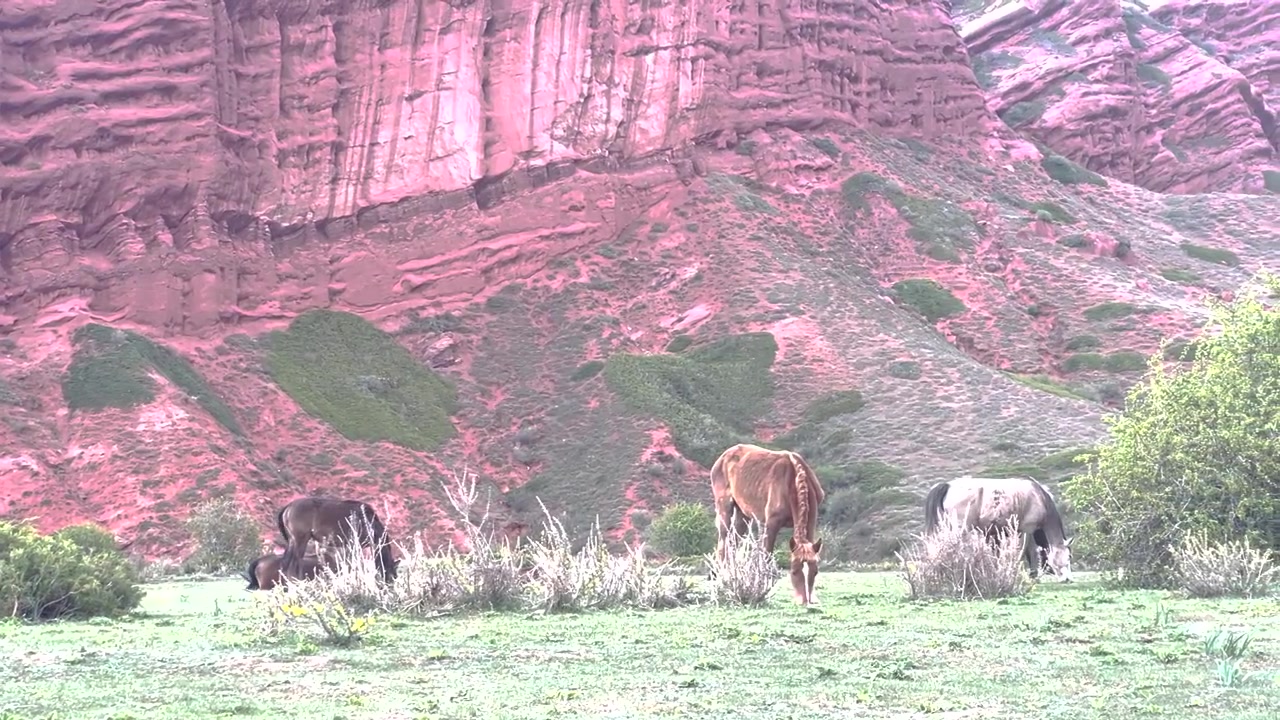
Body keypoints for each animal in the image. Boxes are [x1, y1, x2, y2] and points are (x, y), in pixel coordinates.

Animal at [710, 443, 827, 606]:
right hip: (724, 509)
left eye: (815, 571)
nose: (804, 601)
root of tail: (724, 456)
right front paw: (763, 588)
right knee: (723, 543)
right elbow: (766, 556)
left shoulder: (811, 521)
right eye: (793, 571)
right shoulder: (771, 523)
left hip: (742, 514)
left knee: (733, 542)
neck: (792, 481)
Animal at [922, 475, 1073, 582]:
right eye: (1068, 557)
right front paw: (1031, 575)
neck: (1039, 497)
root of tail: (948, 485)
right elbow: (1028, 551)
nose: (1067, 579)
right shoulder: (1026, 530)